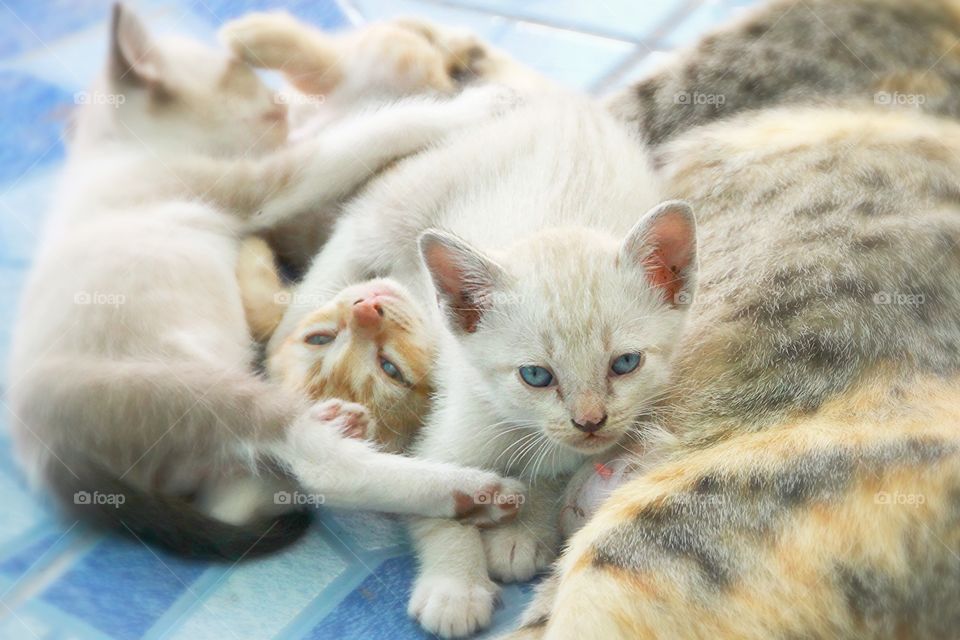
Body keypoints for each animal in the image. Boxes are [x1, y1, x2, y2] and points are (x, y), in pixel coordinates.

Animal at [3, 2, 520, 556]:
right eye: (241, 76)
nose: (280, 104)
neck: (112, 150)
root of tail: (55, 467)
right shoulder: (261, 184)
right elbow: (369, 132)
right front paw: (477, 102)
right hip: (190, 391)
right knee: (322, 469)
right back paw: (470, 491)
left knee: (249, 493)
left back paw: (342, 421)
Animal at [270, 94, 696, 636]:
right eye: (536, 376)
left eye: (625, 363)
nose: (590, 421)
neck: (523, 430)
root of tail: (565, 105)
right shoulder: (444, 433)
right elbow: (437, 501)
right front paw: (455, 588)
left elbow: (551, 480)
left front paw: (521, 532)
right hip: (394, 208)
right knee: (337, 257)